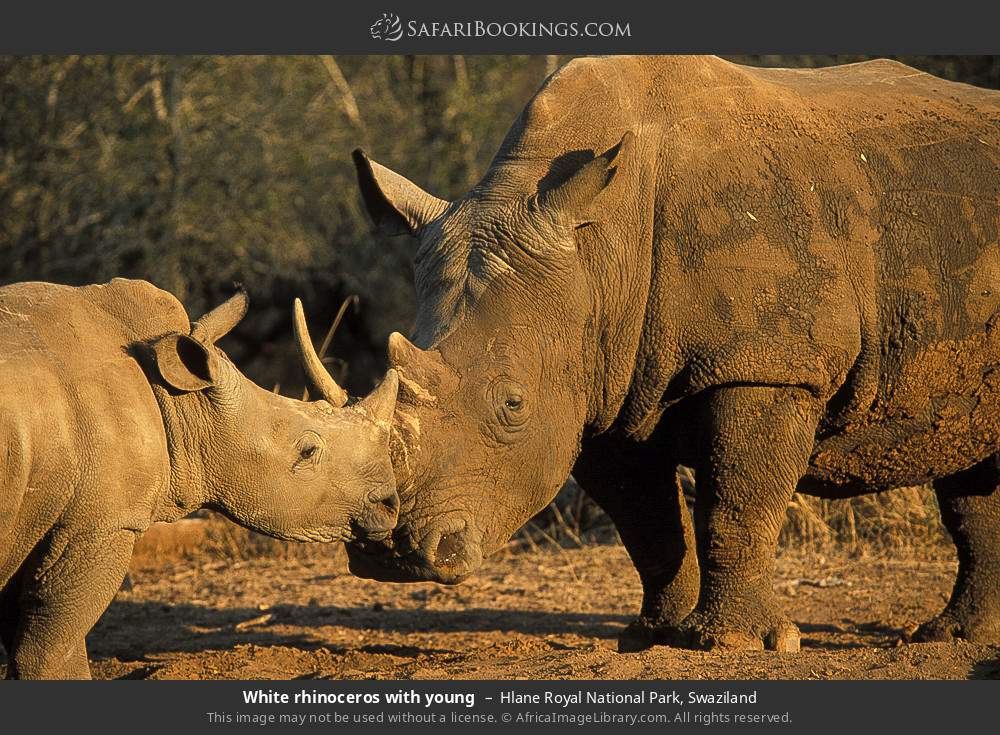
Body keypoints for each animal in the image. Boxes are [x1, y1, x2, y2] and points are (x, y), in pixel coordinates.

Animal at [0, 278, 399, 678]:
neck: (181, 404)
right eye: (308, 451)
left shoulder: (33, 523)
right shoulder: (99, 525)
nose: (389, 503)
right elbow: (52, 651)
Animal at [346, 55, 1000, 653]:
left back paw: (944, 638)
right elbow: (646, 521)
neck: (599, 251)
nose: (387, 552)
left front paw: (737, 642)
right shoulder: (598, 387)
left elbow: (736, 501)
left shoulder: (767, 364)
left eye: (513, 404)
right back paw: (955, 636)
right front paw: (652, 637)